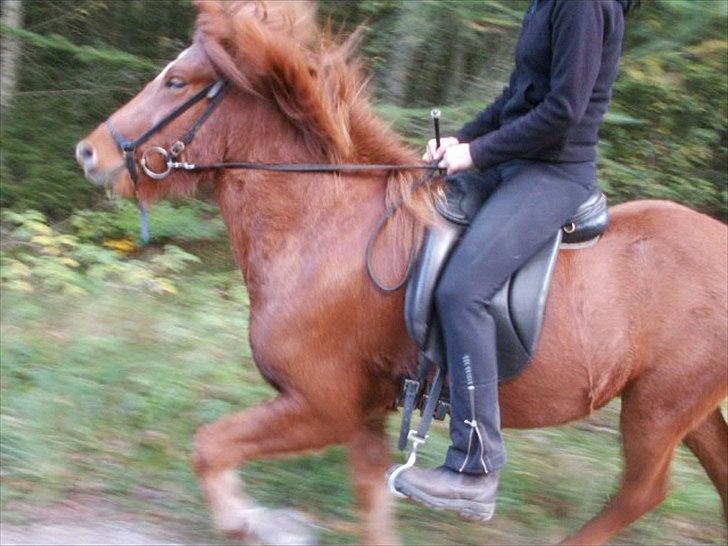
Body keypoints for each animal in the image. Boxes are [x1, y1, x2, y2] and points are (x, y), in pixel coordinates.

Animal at [77, 2, 724, 540]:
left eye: (176, 81)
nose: (90, 152)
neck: (323, 227)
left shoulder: (322, 406)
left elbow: (210, 446)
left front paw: (255, 521)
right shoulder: (362, 413)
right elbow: (370, 506)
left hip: (658, 407)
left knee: (643, 492)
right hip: (686, 409)